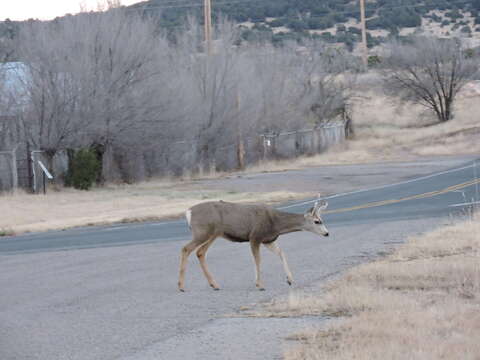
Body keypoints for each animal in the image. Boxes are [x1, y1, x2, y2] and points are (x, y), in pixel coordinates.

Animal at [178, 198, 328, 292]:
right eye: (317, 221)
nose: (327, 233)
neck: (276, 223)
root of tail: (188, 212)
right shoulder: (255, 237)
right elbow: (258, 259)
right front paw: (259, 285)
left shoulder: (268, 240)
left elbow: (281, 252)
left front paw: (290, 280)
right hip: (203, 233)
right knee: (186, 248)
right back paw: (181, 286)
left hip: (213, 234)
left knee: (200, 252)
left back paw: (214, 285)